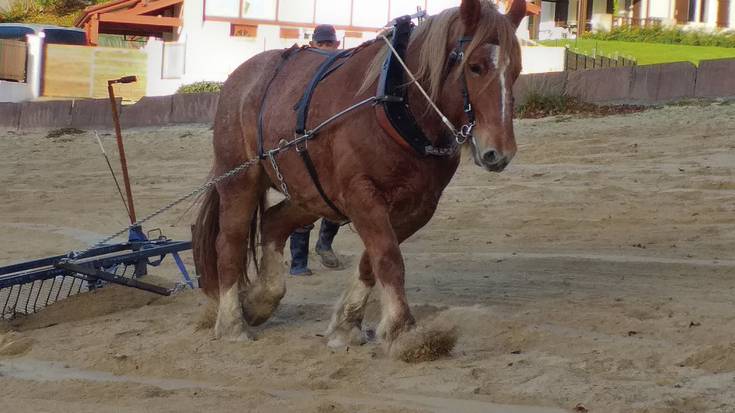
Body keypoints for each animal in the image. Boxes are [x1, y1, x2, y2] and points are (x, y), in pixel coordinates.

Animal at [193, 0, 528, 354]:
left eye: (515, 71)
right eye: (475, 67)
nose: (499, 152)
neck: (397, 105)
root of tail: (240, 78)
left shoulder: (419, 206)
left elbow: (373, 259)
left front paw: (347, 323)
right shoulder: (361, 195)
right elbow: (389, 258)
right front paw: (404, 331)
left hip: (311, 191)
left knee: (273, 222)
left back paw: (261, 299)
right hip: (239, 180)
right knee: (229, 243)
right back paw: (232, 322)